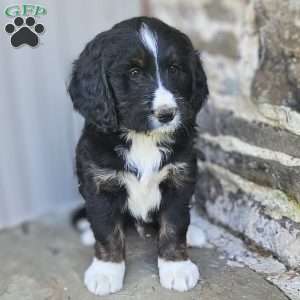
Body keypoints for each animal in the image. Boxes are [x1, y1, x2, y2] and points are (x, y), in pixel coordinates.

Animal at [68, 16, 209, 296]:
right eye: (134, 73)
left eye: (175, 69)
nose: (167, 114)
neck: (143, 138)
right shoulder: (100, 183)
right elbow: (106, 229)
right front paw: (105, 271)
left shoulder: (180, 178)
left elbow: (175, 224)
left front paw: (176, 267)